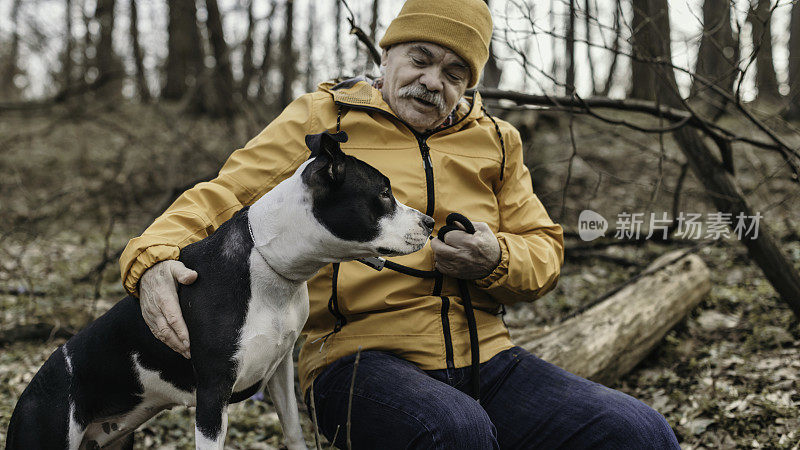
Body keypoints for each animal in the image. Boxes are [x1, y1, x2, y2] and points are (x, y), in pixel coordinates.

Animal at [6, 131, 434, 450]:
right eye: (383, 193)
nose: (431, 222)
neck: (270, 266)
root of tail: (26, 396)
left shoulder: (280, 369)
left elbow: (294, 432)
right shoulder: (212, 398)